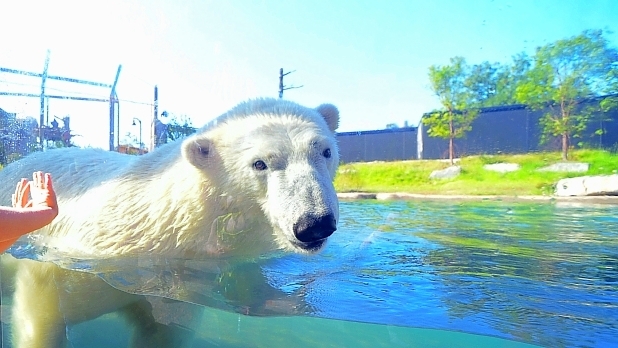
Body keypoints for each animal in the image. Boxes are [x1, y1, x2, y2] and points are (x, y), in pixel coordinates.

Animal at [0, 98, 336, 348]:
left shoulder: (183, 289)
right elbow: (43, 309)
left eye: (326, 151)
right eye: (259, 163)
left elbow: (164, 330)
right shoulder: (78, 260)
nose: (314, 223)